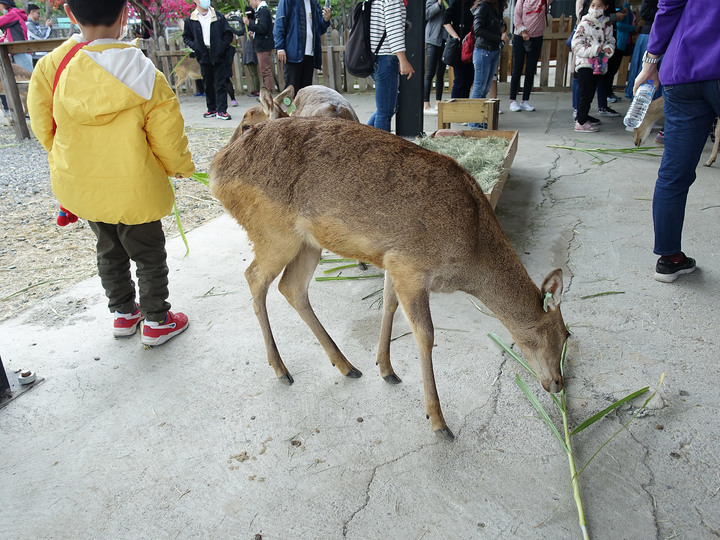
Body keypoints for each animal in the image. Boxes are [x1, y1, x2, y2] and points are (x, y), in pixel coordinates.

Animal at [211, 117, 572, 438]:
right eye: (564, 333)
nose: (557, 382)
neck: (471, 251)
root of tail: (216, 168)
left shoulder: (392, 262)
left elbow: (388, 306)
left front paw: (386, 369)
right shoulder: (412, 266)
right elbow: (425, 334)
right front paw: (438, 421)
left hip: (308, 243)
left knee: (292, 287)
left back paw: (346, 365)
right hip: (274, 233)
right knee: (254, 277)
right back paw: (281, 369)